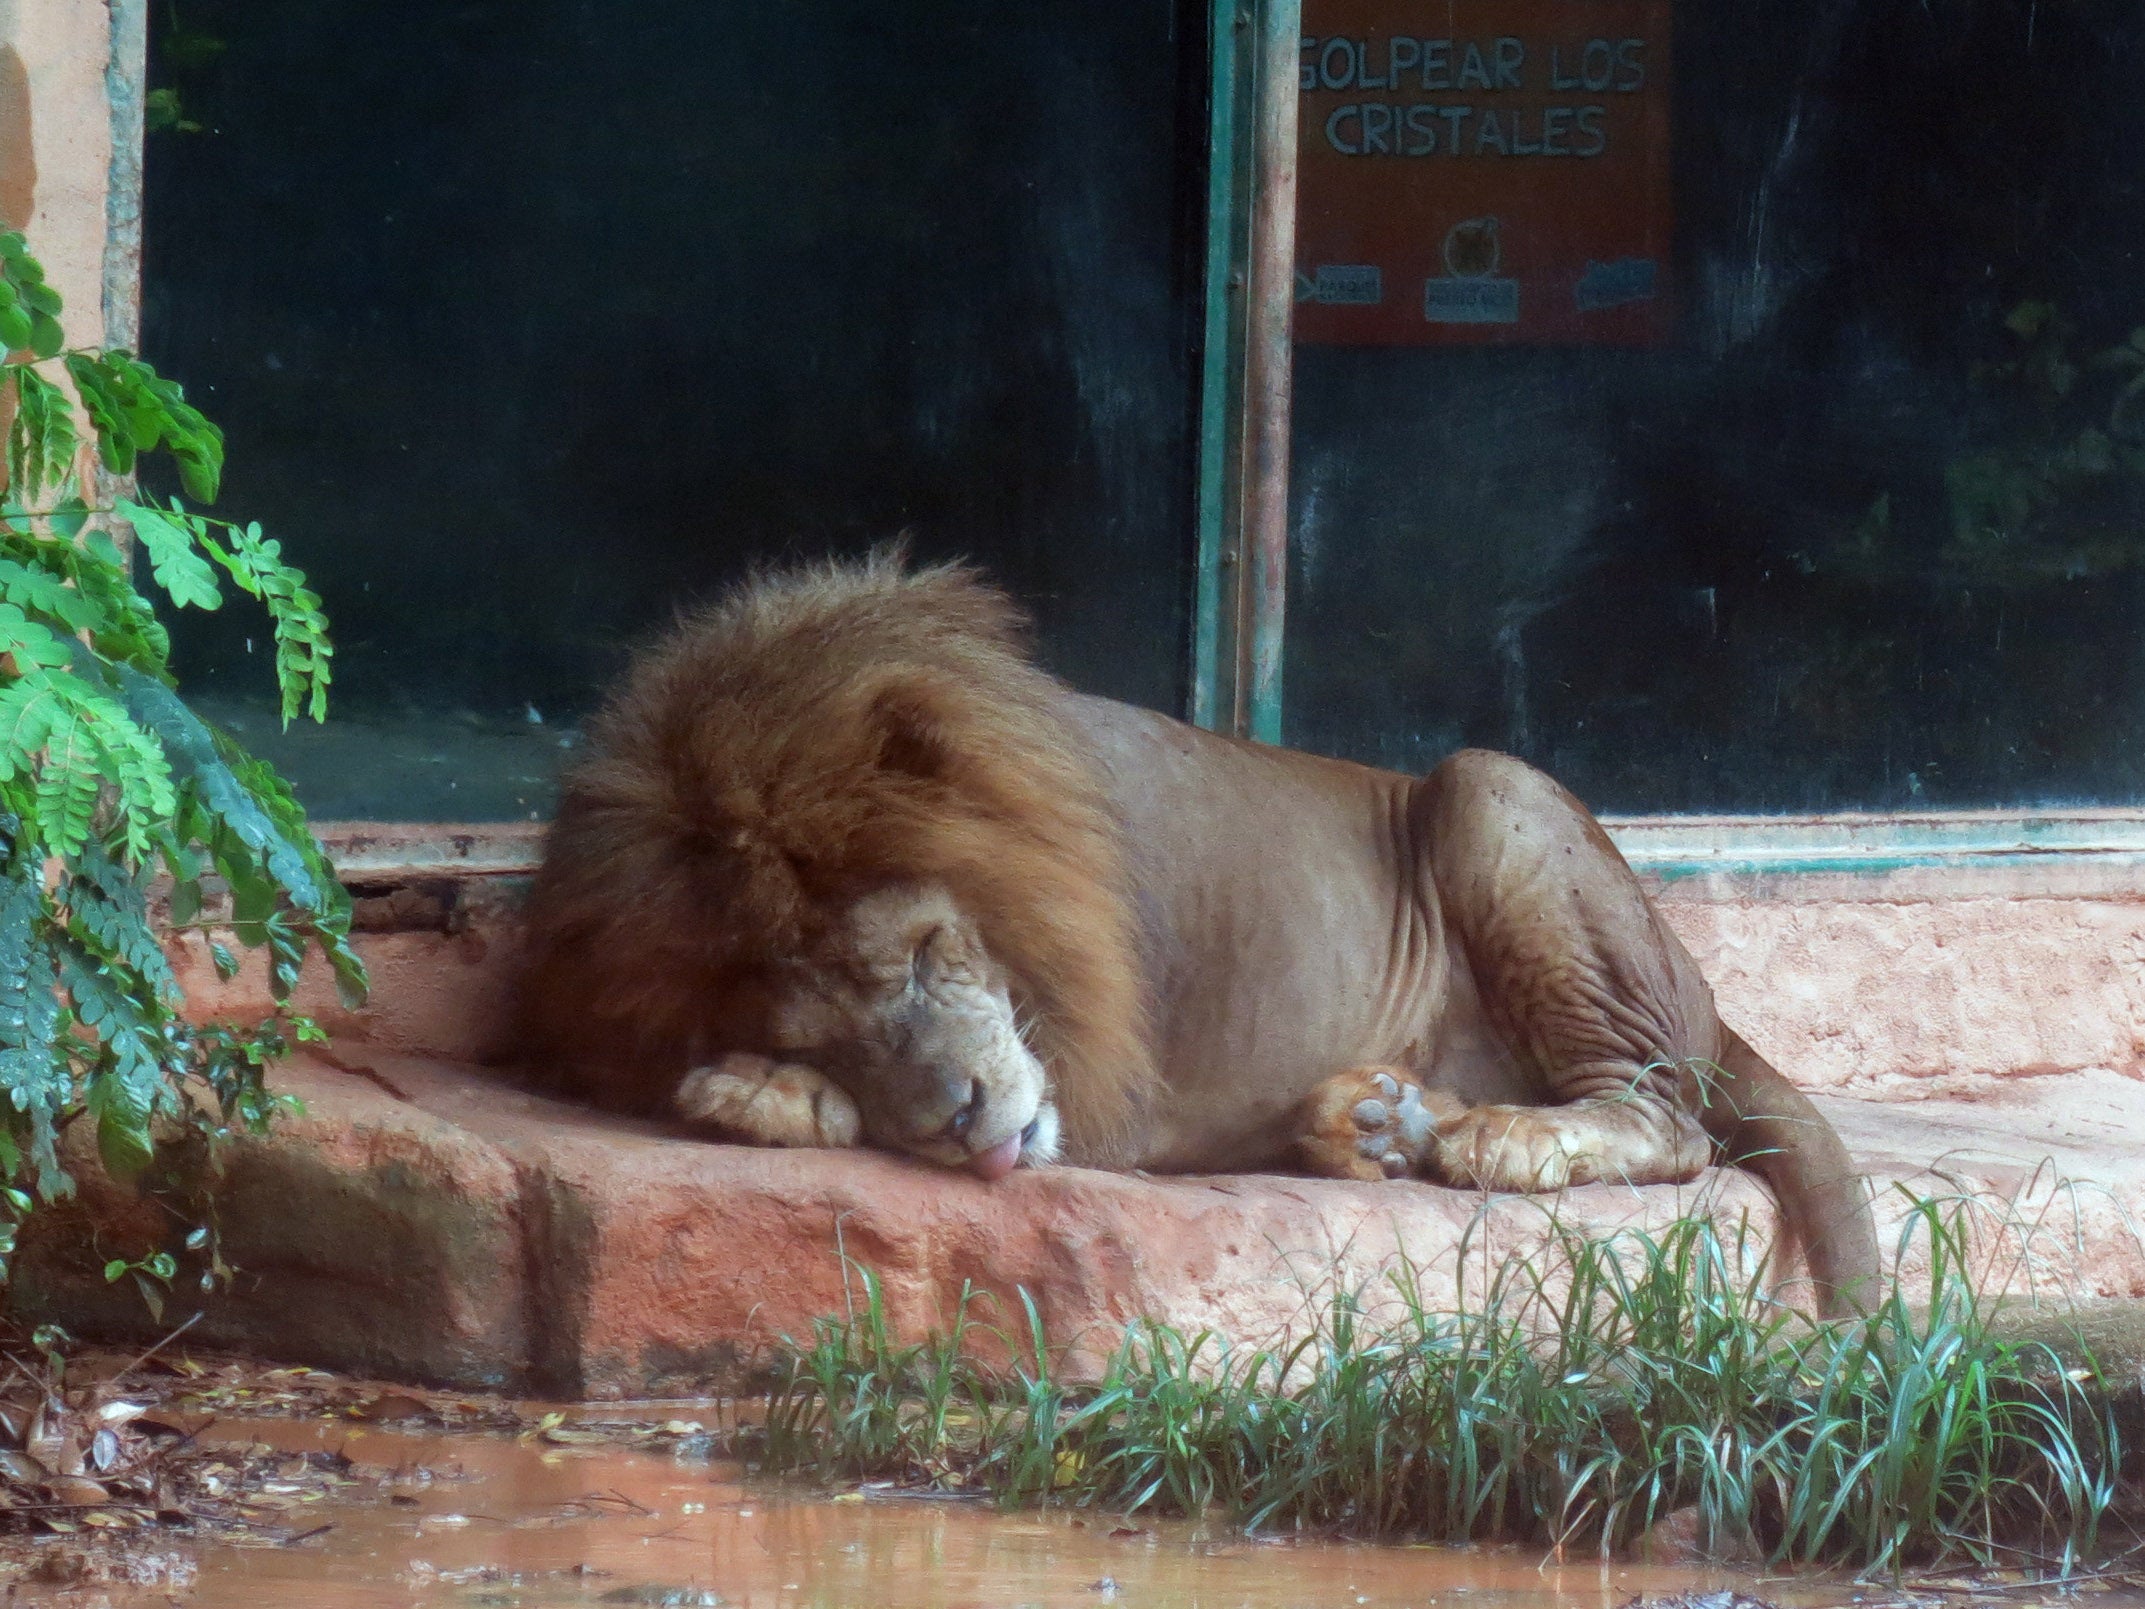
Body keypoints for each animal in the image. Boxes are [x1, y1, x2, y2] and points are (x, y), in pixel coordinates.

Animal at [514, 553, 1879, 1312]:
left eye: (915, 955)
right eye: (823, 1033)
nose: (961, 1118)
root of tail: (1711, 997)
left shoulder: (1110, 1085)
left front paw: (756, 1097)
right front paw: (763, 1089)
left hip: (1492, 792)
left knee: (1675, 1122)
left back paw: (1497, 1138)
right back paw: (1381, 1123)